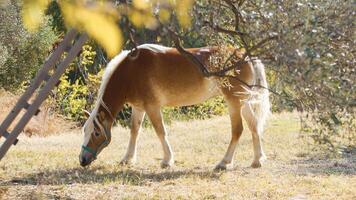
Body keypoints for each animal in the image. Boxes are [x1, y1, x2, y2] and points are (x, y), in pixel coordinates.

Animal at [80, 43, 270, 170]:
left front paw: (167, 160)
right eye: (84, 131)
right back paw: (257, 160)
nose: (82, 160)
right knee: (254, 126)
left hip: (234, 103)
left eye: (96, 133)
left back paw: (224, 162)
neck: (131, 71)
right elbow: (135, 131)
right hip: (243, 103)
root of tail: (247, 56)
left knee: (238, 130)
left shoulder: (152, 107)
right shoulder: (138, 108)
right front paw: (127, 159)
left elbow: (160, 131)